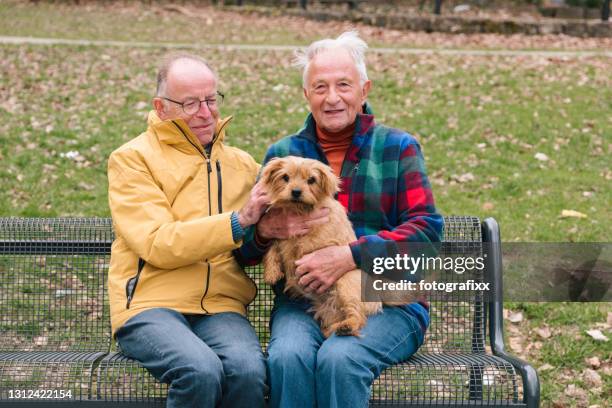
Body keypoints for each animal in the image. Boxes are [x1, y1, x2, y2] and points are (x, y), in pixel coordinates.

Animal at [260, 155, 384, 336]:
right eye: (285, 177)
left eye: (311, 180)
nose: (296, 192)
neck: (298, 210)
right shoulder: (279, 228)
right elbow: (273, 246)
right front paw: (271, 272)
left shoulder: (318, 238)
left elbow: (301, 247)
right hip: (329, 309)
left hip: (346, 285)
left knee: (357, 315)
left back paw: (347, 326)